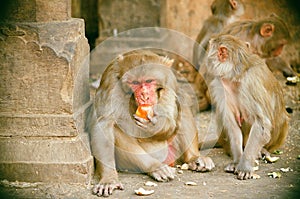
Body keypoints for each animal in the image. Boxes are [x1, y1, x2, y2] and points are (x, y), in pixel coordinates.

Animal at [207, 35, 290, 180]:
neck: (237, 73)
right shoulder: (220, 85)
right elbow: (232, 124)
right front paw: (237, 161)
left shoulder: (251, 83)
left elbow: (261, 123)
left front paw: (245, 166)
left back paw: (262, 150)